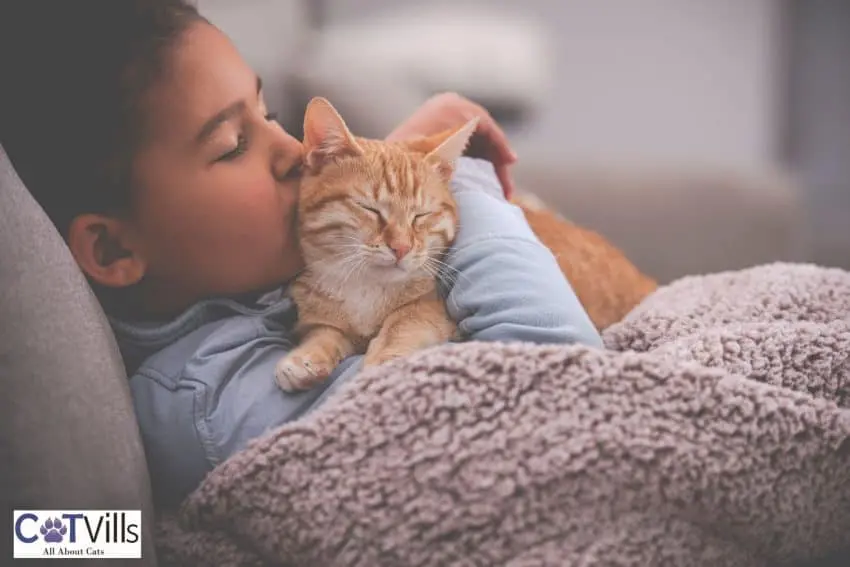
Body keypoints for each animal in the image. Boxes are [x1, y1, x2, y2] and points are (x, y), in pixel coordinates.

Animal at [274, 98, 470, 390]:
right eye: (370, 209)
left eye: (421, 215)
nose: (401, 248)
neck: (366, 287)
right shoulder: (322, 321)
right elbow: (325, 332)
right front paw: (307, 356)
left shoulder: (431, 307)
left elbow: (404, 322)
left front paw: (387, 362)